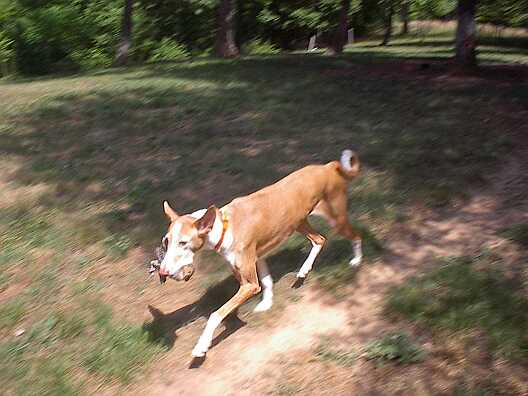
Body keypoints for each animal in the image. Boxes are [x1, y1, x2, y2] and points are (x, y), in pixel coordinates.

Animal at [158, 149, 364, 358]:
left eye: (183, 243)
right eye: (166, 241)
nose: (162, 271)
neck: (225, 226)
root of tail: (327, 167)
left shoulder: (249, 284)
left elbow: (215, 315)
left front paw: (202, 345)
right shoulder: (256, 260)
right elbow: (266, 282)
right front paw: (267, 303)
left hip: (336, 219)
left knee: (356, 236)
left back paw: (356, 260)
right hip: (300, 222)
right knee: (320, 240)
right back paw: (304, 270)